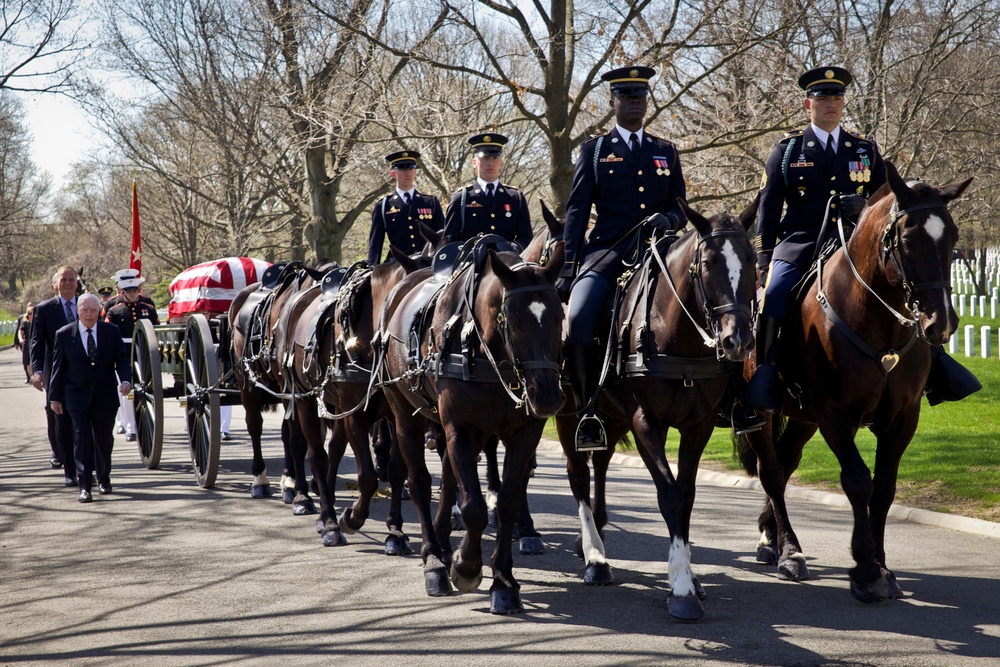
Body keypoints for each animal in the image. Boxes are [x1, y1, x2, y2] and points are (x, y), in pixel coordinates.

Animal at [376, 237, 568, 612]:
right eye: (514, 321)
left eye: (559, 316)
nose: (548, 396)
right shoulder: (461, 429)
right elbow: (474, 507)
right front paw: (465, 566)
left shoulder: (522, 434)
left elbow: (506, 502)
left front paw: (503, 581)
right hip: (405, 416)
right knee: (418, 482)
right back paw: (434, 560)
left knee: (449, 477)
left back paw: (442, 543)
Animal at [556, 200, 756, 620]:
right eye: (709, 262)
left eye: (751, 260)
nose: (738, 340)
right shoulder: (647, 423)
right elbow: (670, 496)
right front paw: (681, 586)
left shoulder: (698, 426)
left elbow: (688, 495)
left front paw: (691, 577)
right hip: (570, 415)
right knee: (578, 475)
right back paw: (595, 556)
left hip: (612, 416)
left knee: (600, 463)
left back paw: (595, 536)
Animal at [732, 163, 972, 604]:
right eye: (907, 239)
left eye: (953, 236)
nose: (941, 323)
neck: (880, 323)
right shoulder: (834, 413)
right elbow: (858, 481)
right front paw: (864, 568)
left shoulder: (903, 417)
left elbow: (884, 488)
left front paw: (882, 564)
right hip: (762, 411)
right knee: (771, 470)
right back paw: (789, 552)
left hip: (803, 418)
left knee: (786, 463)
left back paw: (770, 537)